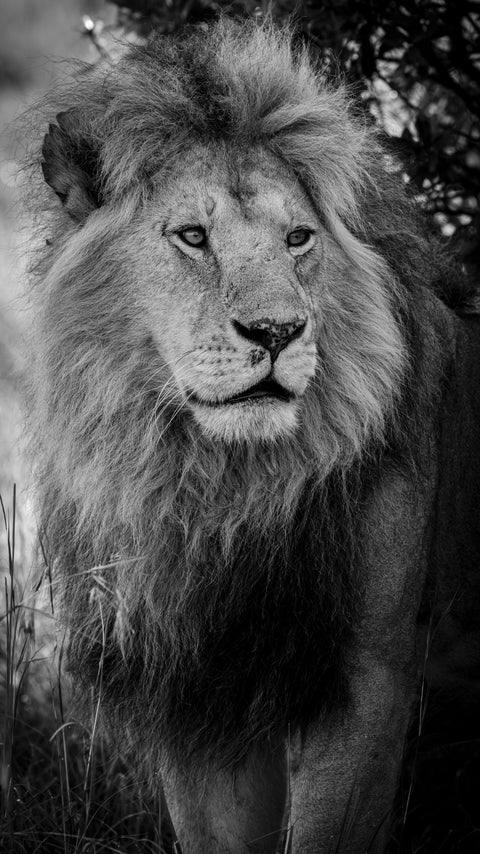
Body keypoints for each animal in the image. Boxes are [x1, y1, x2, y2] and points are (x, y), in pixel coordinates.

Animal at [27, 16, 480, 854]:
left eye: (298, 238)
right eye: (192, 236)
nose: (276, 332)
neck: (220, 487)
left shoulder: (366, 678)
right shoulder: (201, 685)